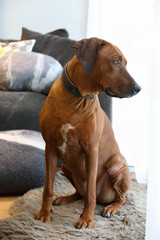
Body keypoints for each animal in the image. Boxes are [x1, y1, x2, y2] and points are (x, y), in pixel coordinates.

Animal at [35, 37, 141, 229]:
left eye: (125, 63)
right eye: (116, 61)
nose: (138, 88)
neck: (77, 98)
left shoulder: (91, 150)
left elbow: (91, 193)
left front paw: (86, 219)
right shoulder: (50, 147)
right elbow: (48, 188)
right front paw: (45, 213)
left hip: (116, 165)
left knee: (119, 198)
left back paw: (111, 208)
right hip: (66, 166)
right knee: (80, 193)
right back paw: (65, 198)